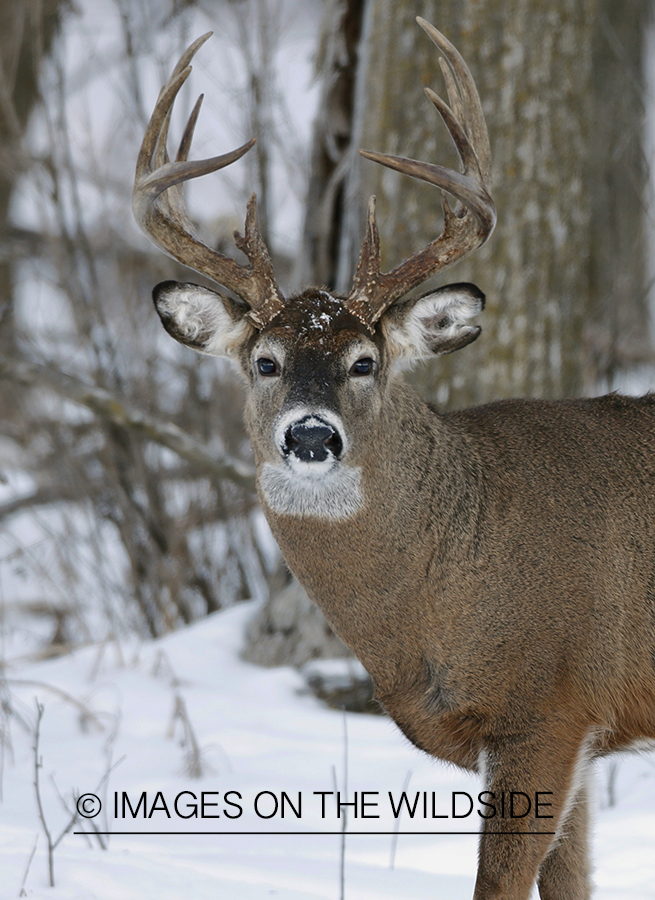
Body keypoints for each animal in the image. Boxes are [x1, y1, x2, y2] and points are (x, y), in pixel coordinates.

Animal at [132, 19, 655, 900]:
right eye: (264, 361)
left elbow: (499, 886)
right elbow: (572, 882)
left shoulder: (544, 707)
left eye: (363, 362)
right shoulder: (581, 731)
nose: (311, 436)